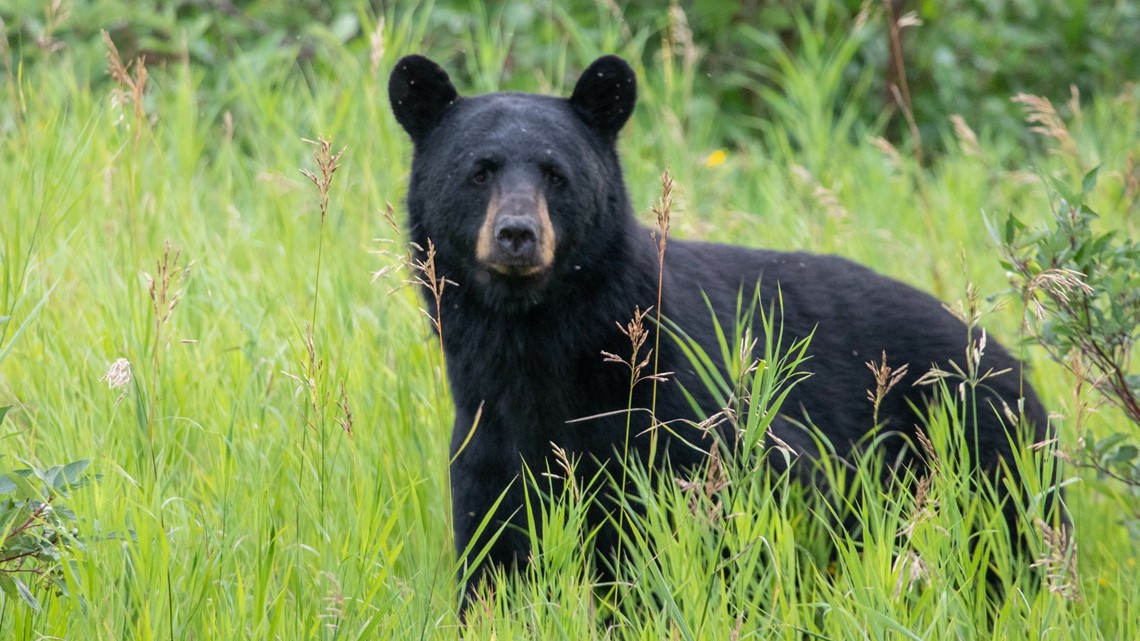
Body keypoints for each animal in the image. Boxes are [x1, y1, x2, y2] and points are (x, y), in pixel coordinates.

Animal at [387, 53, 1053, 602]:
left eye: (555, 174)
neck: (540, 340)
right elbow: (493, 553)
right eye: (479, 172)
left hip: (978, 451)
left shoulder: (685, 412)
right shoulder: (488, 437)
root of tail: (1005, 359)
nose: (517, 234)